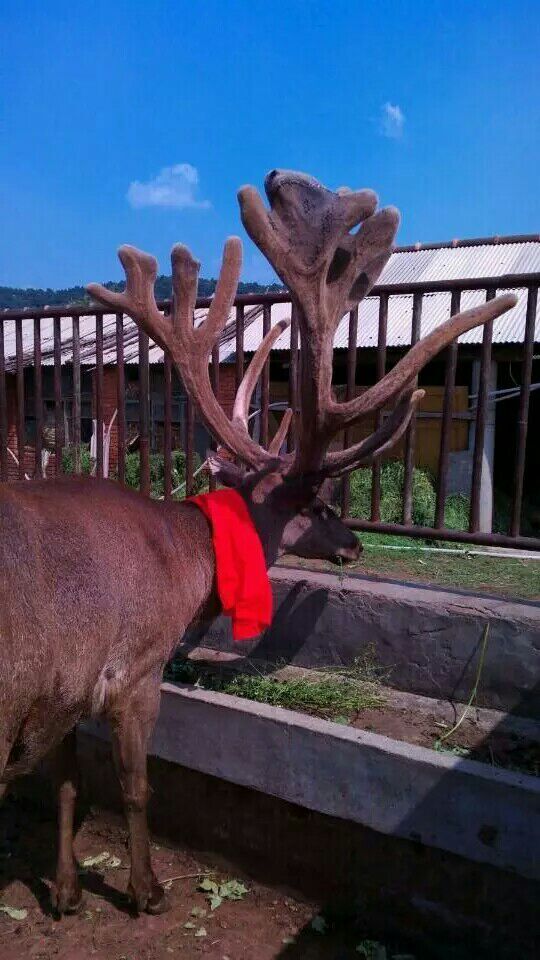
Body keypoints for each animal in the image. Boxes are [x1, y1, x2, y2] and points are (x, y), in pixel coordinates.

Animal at [0, 170, 516, 917]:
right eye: (322, 504)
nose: (355, 546)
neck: (187, 564)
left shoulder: (63, 690)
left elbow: (67, 782)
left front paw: (67, 891)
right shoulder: (132, 668)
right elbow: (134, 787)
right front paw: (147, 890)